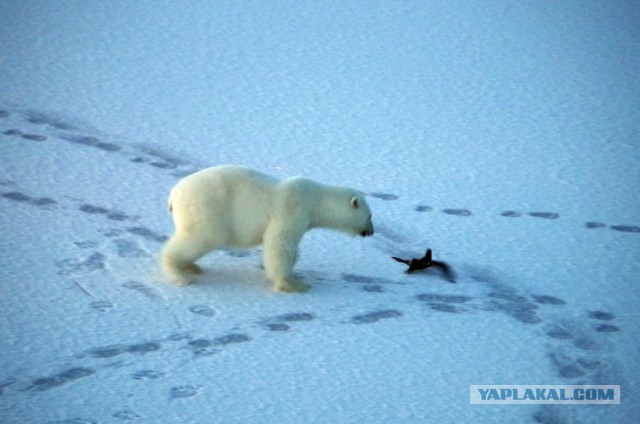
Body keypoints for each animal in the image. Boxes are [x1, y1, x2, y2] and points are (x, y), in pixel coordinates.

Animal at [160, 165, 372, 292]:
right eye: (370, 216)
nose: (371, 231)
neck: (315, 199)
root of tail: (173, 196)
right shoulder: (293, 208)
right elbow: (279, 243)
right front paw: (294, 285)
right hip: (205, 208)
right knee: (201, 236)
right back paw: (178, 272)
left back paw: (191, 267)